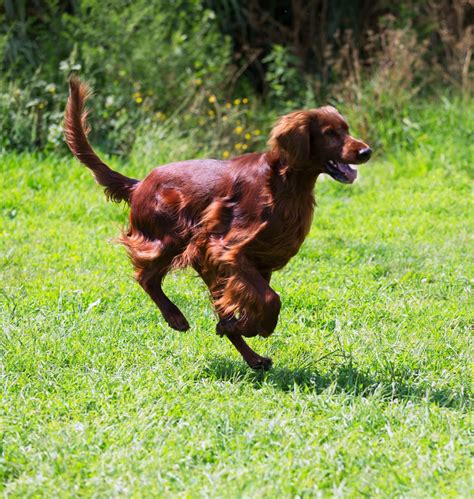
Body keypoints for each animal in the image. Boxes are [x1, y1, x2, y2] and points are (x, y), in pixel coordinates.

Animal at [65, 79, 372, 372]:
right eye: (330, 133)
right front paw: (249, 325)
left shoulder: (257, 260)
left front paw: (242, 325)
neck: (285, 183)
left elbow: (253, 301)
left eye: (346, 129)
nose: (366, 152)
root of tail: (139, 185)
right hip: (171, 238)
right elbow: (270, 300)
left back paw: (252, 357)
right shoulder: (226, 249)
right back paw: (176, 317)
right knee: (146, 277)